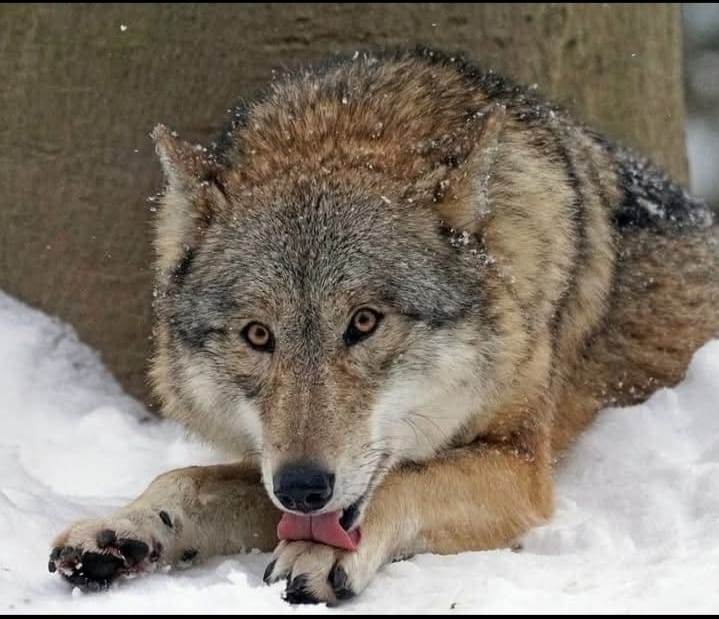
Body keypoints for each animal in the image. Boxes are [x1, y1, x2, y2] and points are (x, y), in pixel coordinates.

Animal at [49, 48, 719, 605]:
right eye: (258, 335)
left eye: (364, 323)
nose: (302, 489)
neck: (343, 128)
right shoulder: (270, 466)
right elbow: (184, 479)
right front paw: (122, 528)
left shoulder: (522, 464)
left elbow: (406, 480)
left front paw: (316, 549)